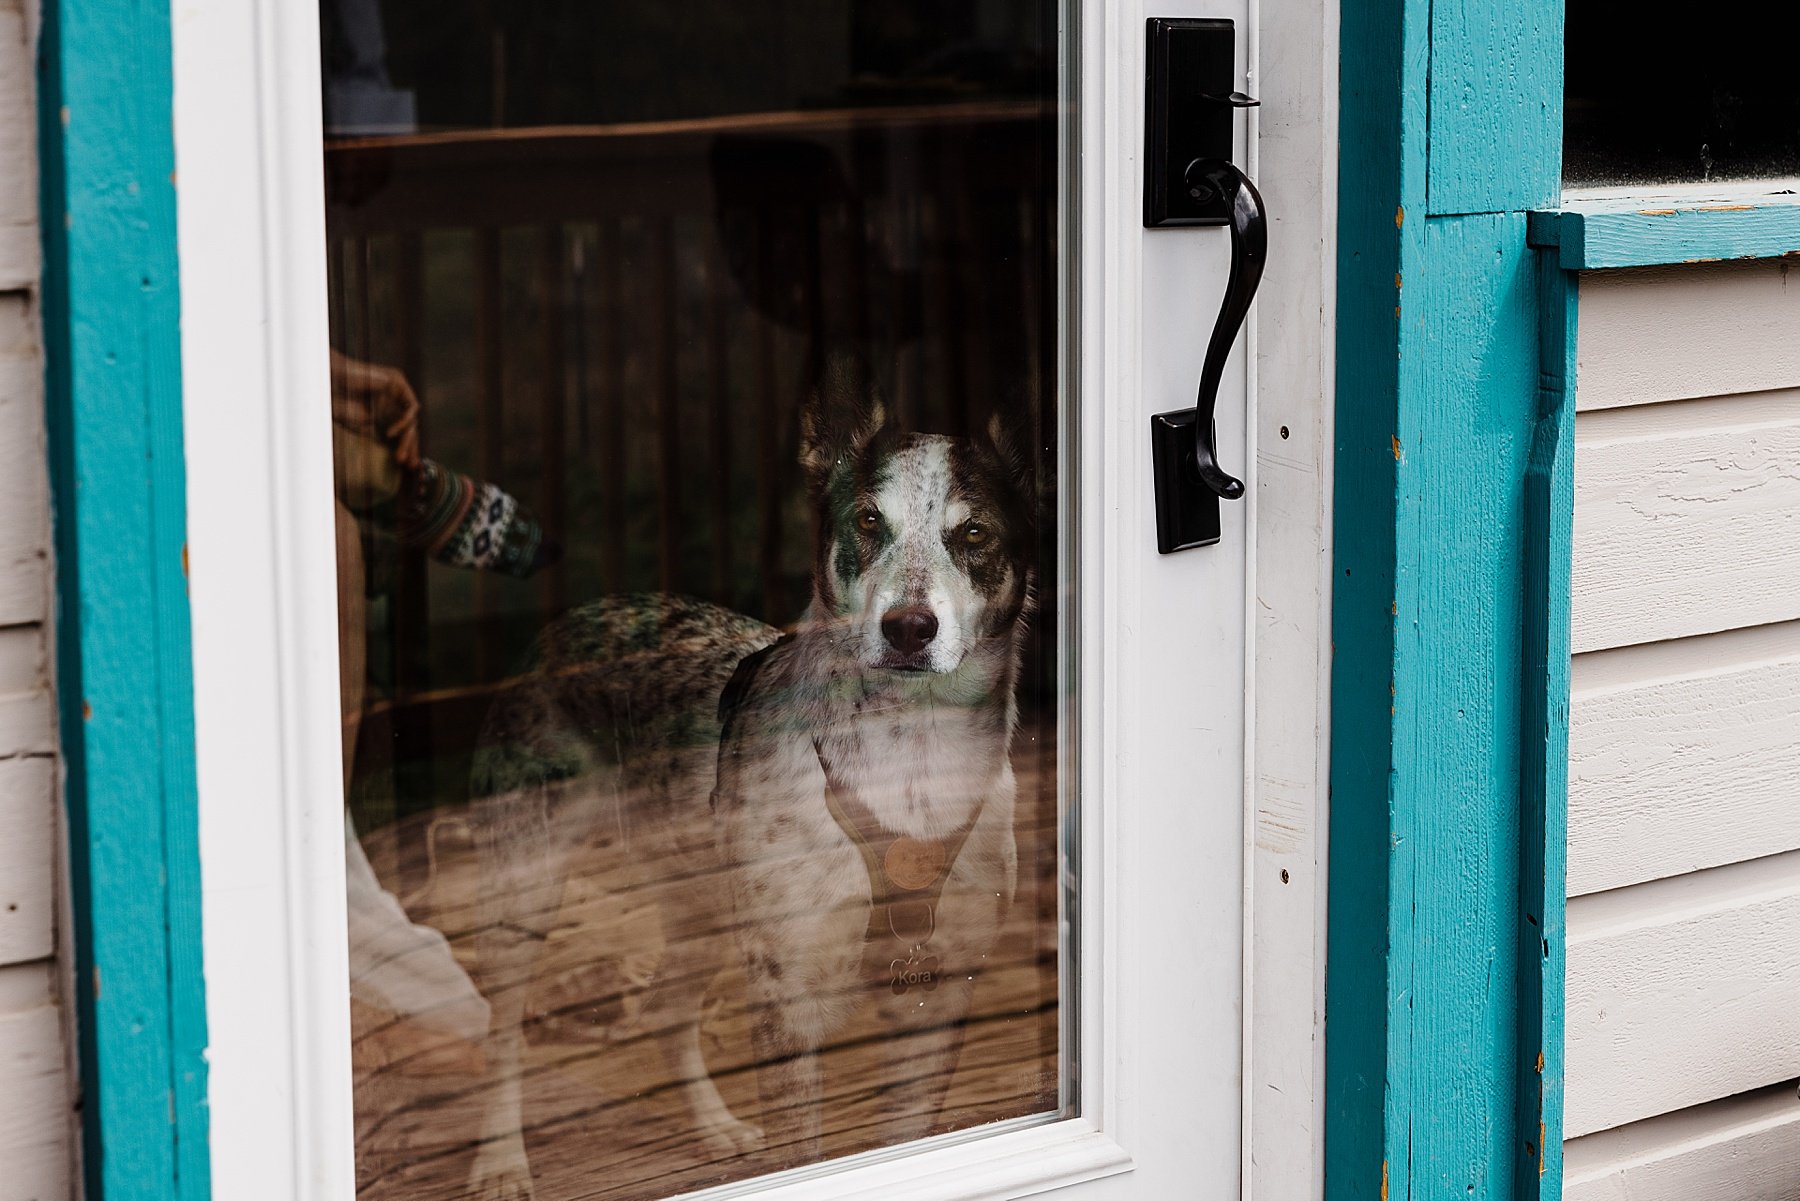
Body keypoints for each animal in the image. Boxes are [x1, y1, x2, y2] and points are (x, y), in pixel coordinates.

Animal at [464, 367, 1036, 1201]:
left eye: (974, 535)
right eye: (868, 520)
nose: (908, 628)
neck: (911, 769)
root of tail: (571, 619)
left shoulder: (940, 999)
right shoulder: (788, 994)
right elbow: (801, 1152)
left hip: (705, 899)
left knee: (666, 1007)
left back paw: (715, 1126)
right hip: (524, 888)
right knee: (501, 1031)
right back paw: (501, 1160)